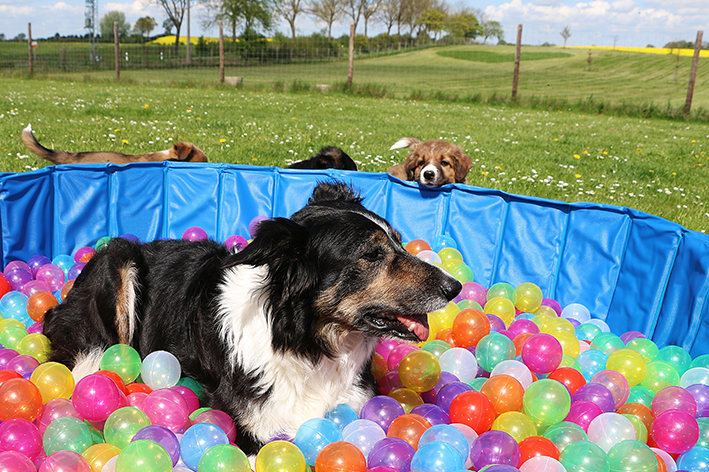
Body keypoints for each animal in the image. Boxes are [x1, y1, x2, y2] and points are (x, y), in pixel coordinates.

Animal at [45, 181, 464, 454]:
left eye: (399, 241)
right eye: (371, 255)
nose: (455, 287)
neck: (304, 340)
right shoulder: (250, 428)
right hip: (118, 259)